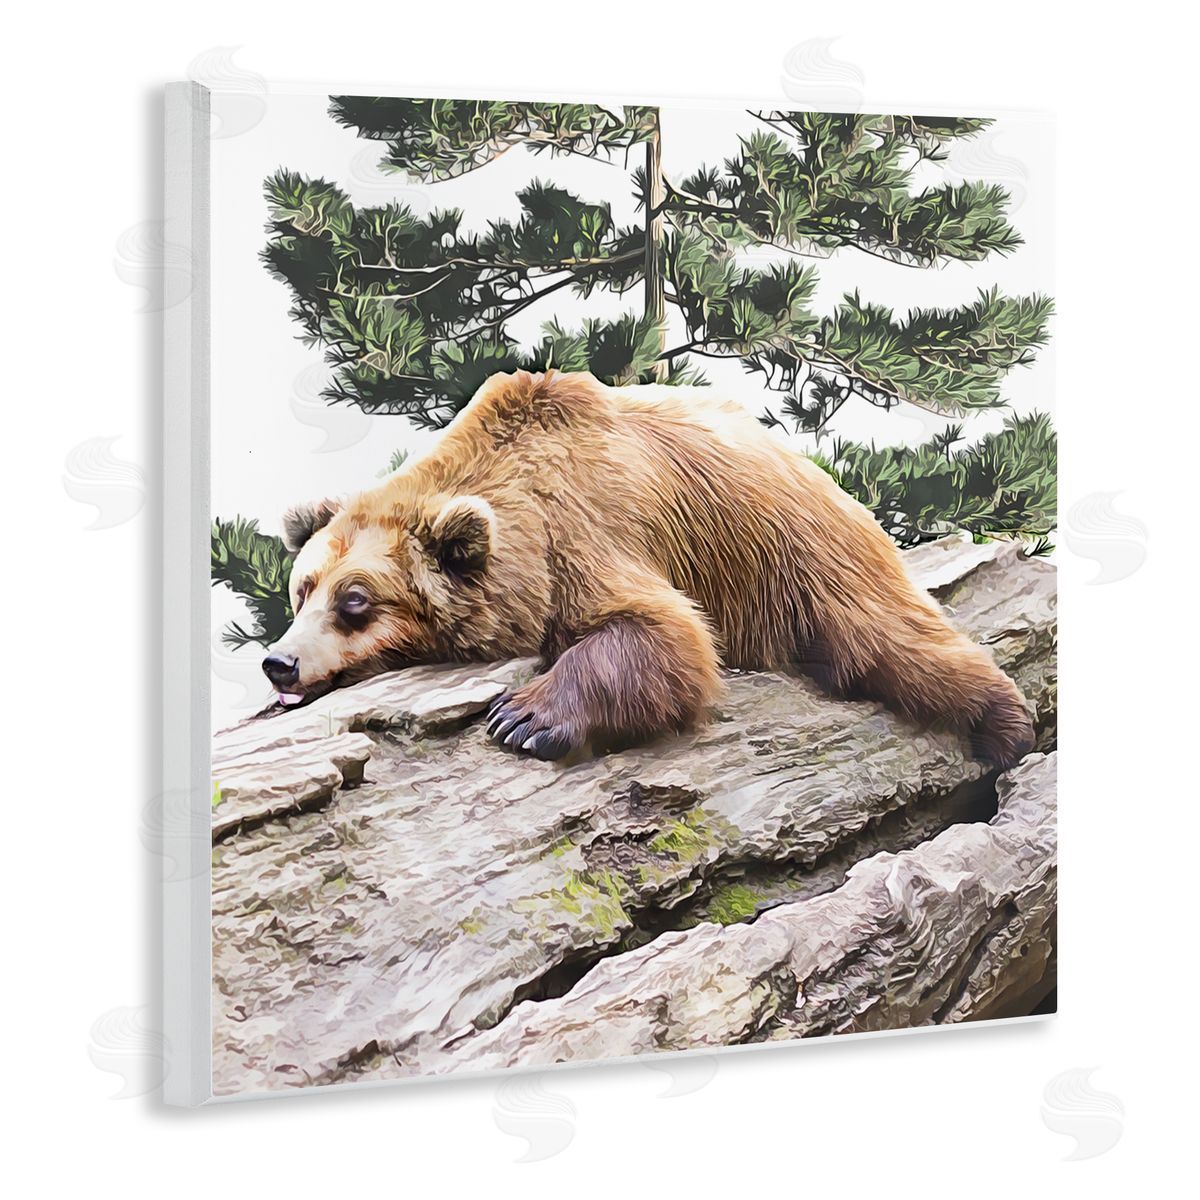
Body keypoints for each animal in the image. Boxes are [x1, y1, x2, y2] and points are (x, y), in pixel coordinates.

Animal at [263, 369, 1035, 768]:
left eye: (357, 600)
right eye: (303, 590)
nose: (280, 663)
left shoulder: (587, 527)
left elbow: (663, 634)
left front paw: (523, 718)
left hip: (800, 551)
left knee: (891, 639)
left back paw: (1007, 724)